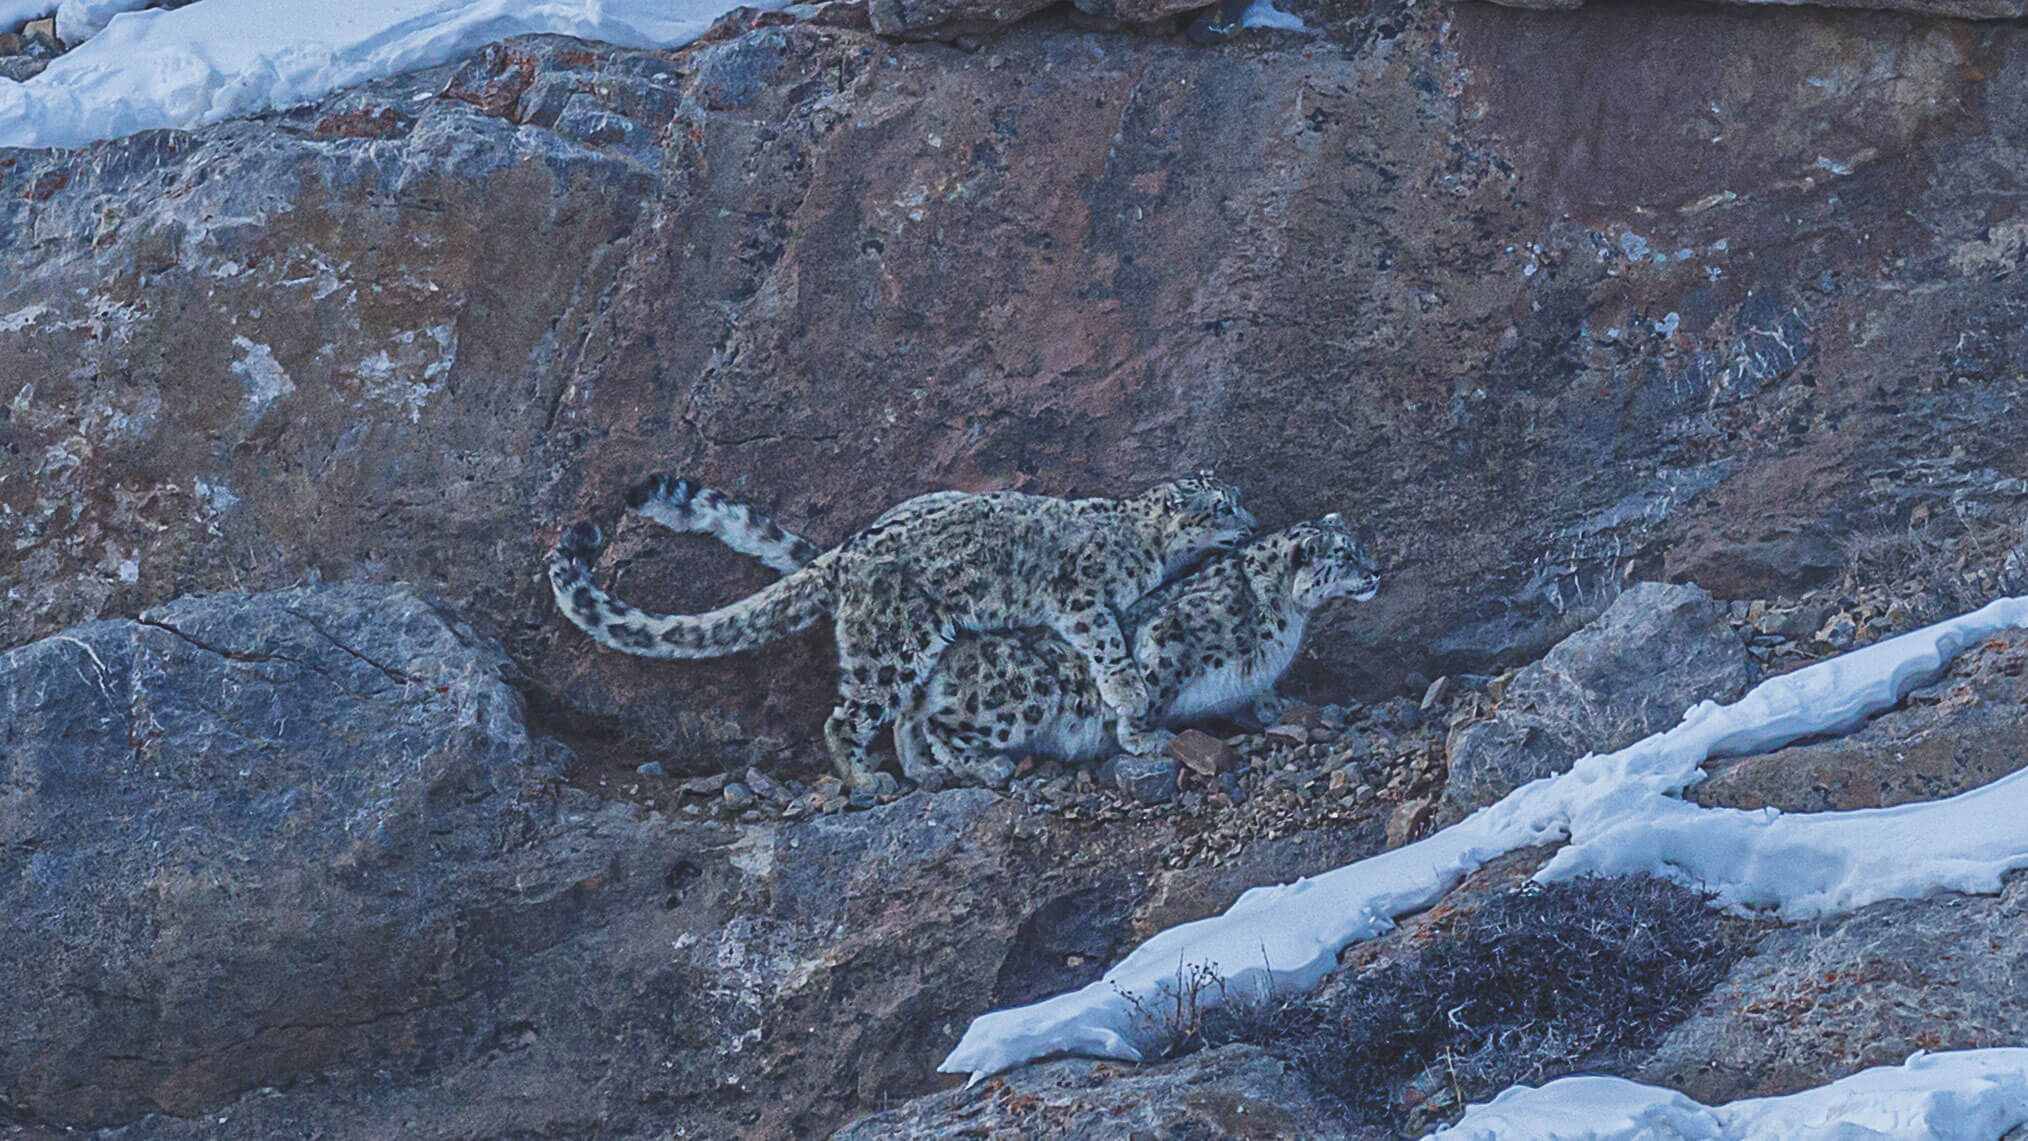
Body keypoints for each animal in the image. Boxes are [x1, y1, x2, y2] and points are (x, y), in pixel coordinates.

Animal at [588, 481, 1380, 789]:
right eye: (1344, 556)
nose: (1376, 570)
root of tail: (847, 555)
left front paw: (1272, 707)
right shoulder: (1110, 611)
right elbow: (1127, 666)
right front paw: (1140, 729)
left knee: (907, 716)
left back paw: (923, 768)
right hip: (906, 655)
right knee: (865, 717)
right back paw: (890, 774)